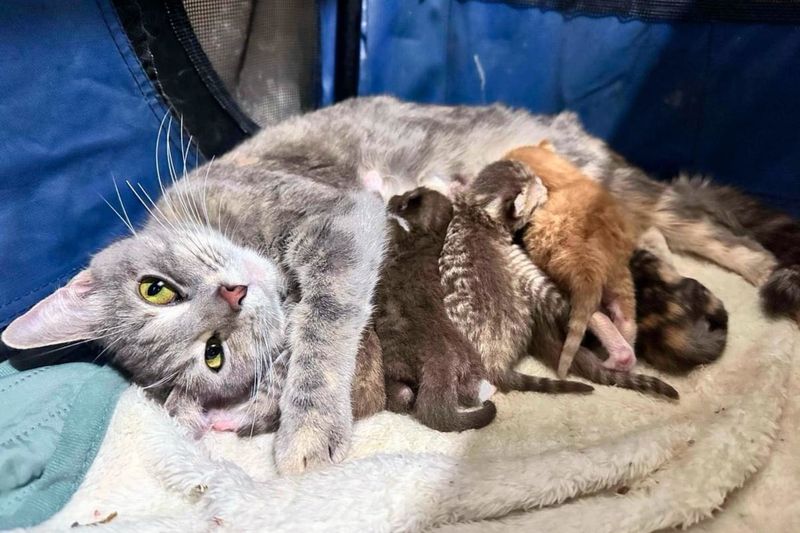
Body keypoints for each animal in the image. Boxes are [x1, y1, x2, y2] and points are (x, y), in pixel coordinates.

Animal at [374, 188, 496, 432]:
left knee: (403, 395)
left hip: (396, 365)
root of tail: (441, 363)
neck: (428, 236)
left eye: (405, 200)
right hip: (468, 364)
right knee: (468, 393)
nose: (396, 196)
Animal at [504, 144, 640, 378]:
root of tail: (593, 260)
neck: (567, 178)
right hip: (619, 275)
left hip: (563, 277)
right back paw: (624, 356)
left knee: (596, 317)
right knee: (627, 321)